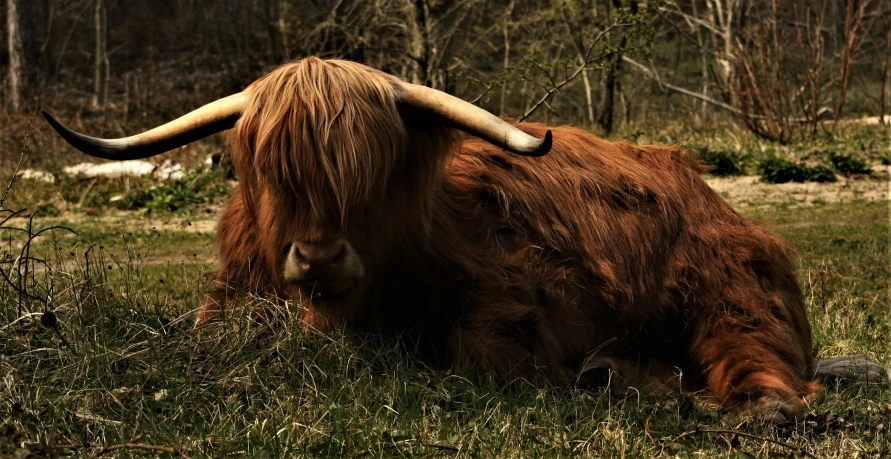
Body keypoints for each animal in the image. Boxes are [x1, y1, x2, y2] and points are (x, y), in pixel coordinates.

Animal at [47, 56, 891, 420]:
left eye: (373, 168)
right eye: (272, 170)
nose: (318, 253)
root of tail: (712, 193)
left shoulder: (521, 292)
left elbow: (477, 347)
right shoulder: (227, 295)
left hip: (729, 286)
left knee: (753, 355)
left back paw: (743, 401)